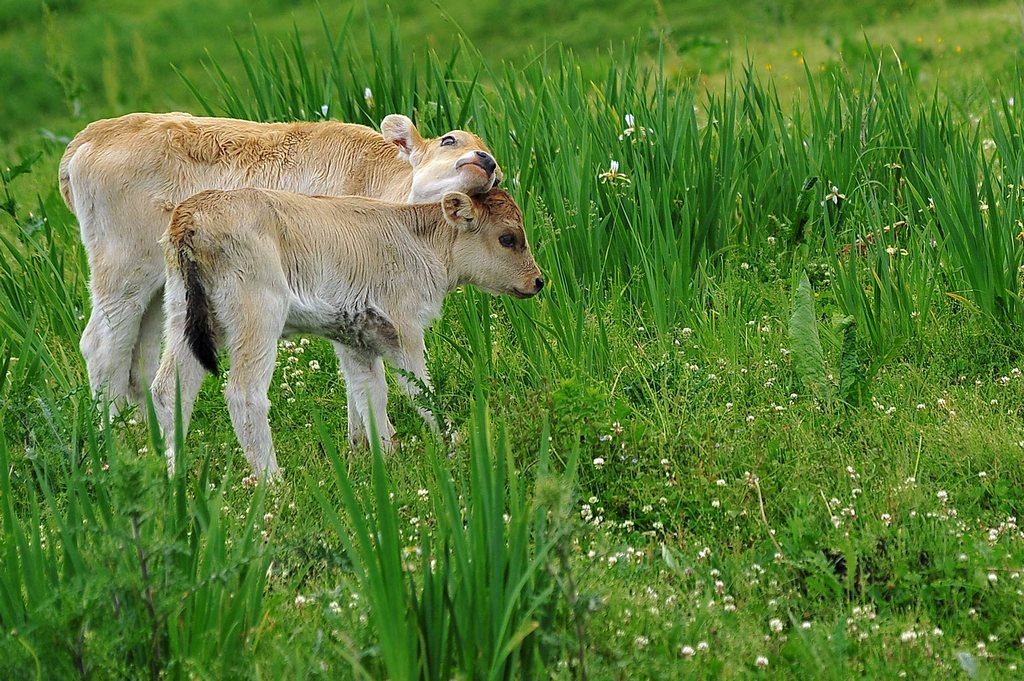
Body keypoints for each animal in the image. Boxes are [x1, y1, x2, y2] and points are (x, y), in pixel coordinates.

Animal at [58, 112, 501, 411]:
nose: (487, 160)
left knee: (141, 353)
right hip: (122, 265)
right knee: (100, 343)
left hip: (159, 282)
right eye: (449, 140)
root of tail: (94, 132)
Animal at [150, 183, 544, 475]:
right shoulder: (406, 333)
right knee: (244, 393)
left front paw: (384, 456)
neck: (418, 240)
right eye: (508, 238)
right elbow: (420, 390)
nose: (539, 281)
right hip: (257, 318)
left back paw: (176, 479)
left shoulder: (357, 340)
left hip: (184, 320)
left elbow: (369, 394)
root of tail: (191, 213)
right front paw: (454, 442)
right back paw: (272, 482)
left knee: (169, 389)